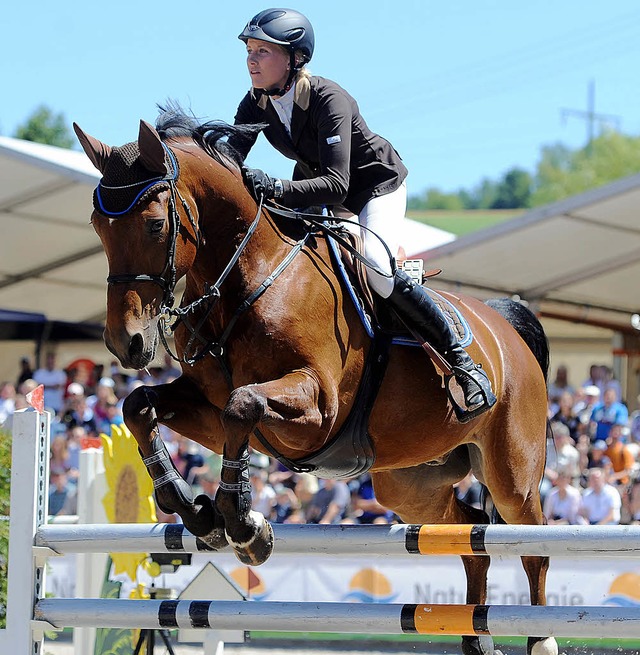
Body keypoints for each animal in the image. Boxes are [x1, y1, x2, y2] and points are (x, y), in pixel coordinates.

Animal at [74, 110, 556, 655]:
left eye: (156, 225)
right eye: (98, 226)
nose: (126, 344)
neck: (249, 276)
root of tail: (505, 326)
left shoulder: (318, 409)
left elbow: (242, 405)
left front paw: (243, 525)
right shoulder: (206, 405)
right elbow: (140, 406)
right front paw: (195, 511)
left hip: (512, 474)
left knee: (533, 545)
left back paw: (540, 639)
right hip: (409, 483)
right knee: (472, 532)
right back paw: (476, 639)